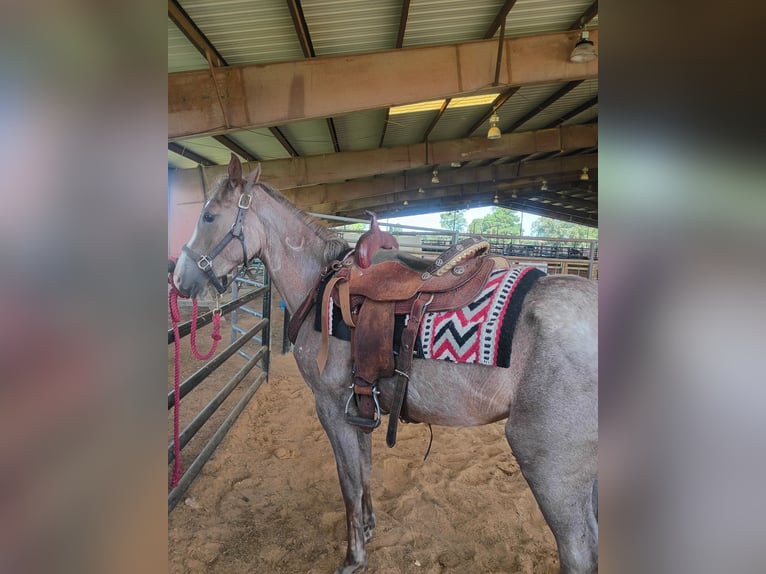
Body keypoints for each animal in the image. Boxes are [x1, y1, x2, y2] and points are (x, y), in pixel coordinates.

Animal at [172, 155, 598, 573]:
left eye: (208, 216)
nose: (179, 279)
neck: (319, 287)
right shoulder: (360, 404)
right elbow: (365, 470)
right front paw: (369, 526)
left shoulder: (331, 406)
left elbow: (349, 482)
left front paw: (354, 557)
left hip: (548, 464)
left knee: (577, 551)